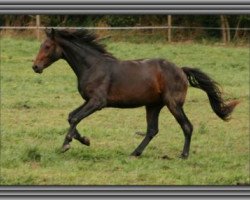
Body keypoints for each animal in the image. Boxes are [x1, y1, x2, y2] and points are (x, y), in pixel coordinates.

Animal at [32, 28, 239, 159]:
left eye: (47, 47)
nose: (35, 67)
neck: (92, 66)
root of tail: (181, 70)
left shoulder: (98, 102)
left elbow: (75, 118)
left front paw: (66, 145)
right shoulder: (89, 100)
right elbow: (71, 116)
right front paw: (85, 140)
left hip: (173, 104)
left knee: (187, 126)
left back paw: (183, 155)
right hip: (153, 105)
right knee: (152, 130)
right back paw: (135, 153)